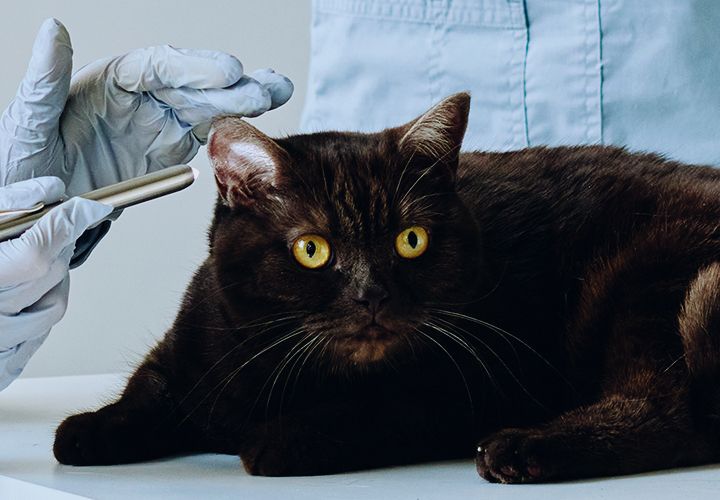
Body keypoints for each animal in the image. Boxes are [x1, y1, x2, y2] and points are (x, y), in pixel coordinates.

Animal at [54, 93, 720, 480]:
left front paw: (285, 438)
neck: (287, 376)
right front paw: (91, 429)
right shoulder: (194, 342)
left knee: (665, 416)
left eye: (411, 241)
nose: (370, 295)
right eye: (312, 250)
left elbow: (377, 408)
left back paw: (524, 448)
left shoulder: (469, 385)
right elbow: (149, 388)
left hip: (644, 276)